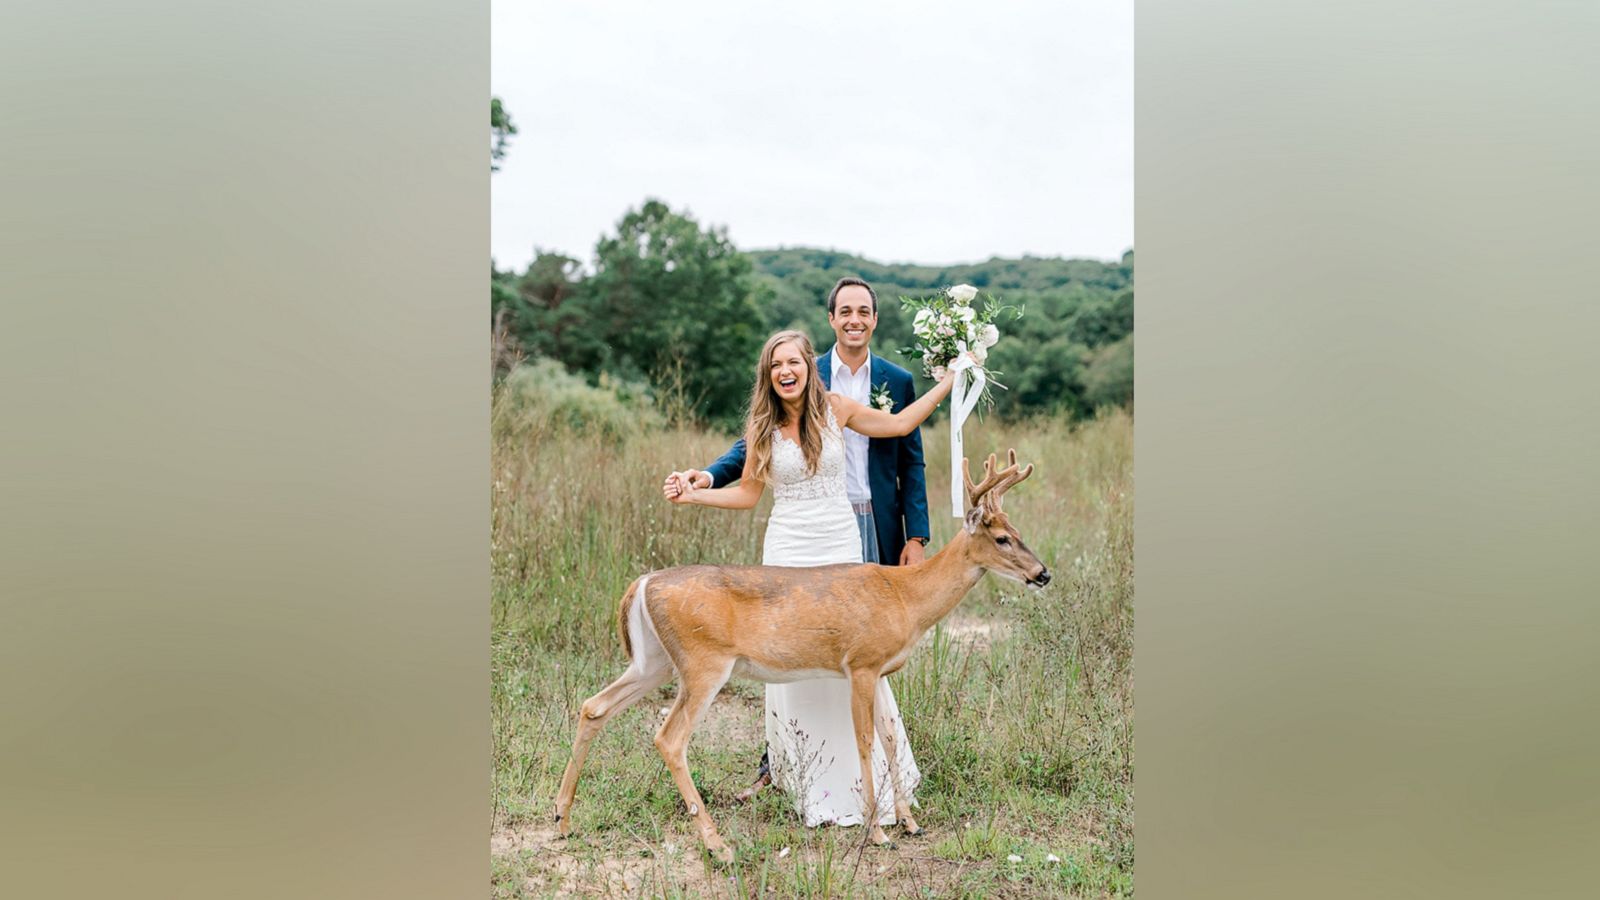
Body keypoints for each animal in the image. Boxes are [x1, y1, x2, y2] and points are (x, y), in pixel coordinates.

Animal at [550, 448, 1049, 864]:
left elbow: (890, 738)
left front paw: (909, 822)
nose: (1043, 573)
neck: (906, 599)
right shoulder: (861, 663)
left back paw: (561, 819)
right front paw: (877, 830)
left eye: (1019, 532)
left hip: (653, 660)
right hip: (702, 661)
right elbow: (865, 742)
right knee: (669, 739)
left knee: (594, 706)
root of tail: (642, 583)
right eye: (1002, 538)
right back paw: (717, 845)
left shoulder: (881, 670)